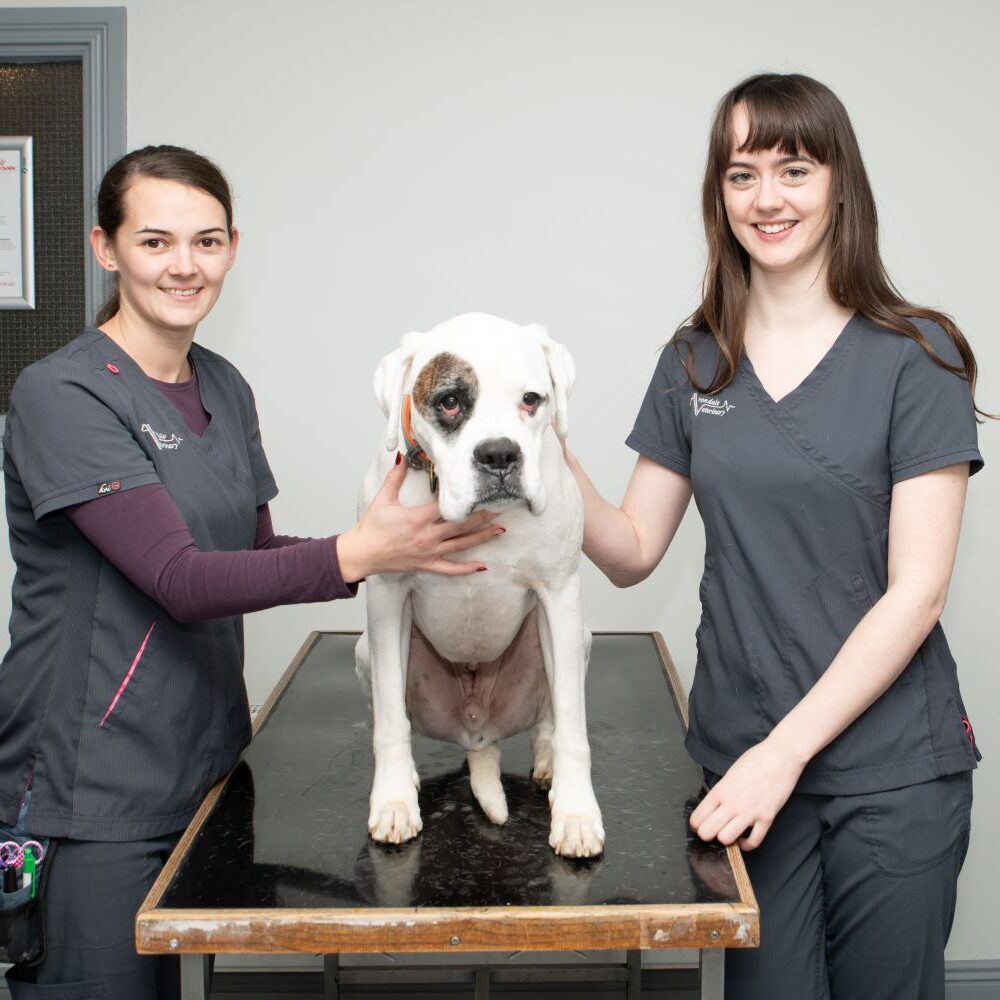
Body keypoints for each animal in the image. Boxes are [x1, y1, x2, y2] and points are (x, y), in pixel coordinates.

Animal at [356, 314, 604, 860]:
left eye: (532, 399)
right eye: (450, 401)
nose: (499, 453)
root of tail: (479, 738)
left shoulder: (559, 594)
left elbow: (574, 722)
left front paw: (576, 813)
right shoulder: (387, 597)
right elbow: (390, 723)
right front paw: (394, 802)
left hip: (575, 638)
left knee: (553, 714)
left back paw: (548, 761)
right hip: (367, 650)